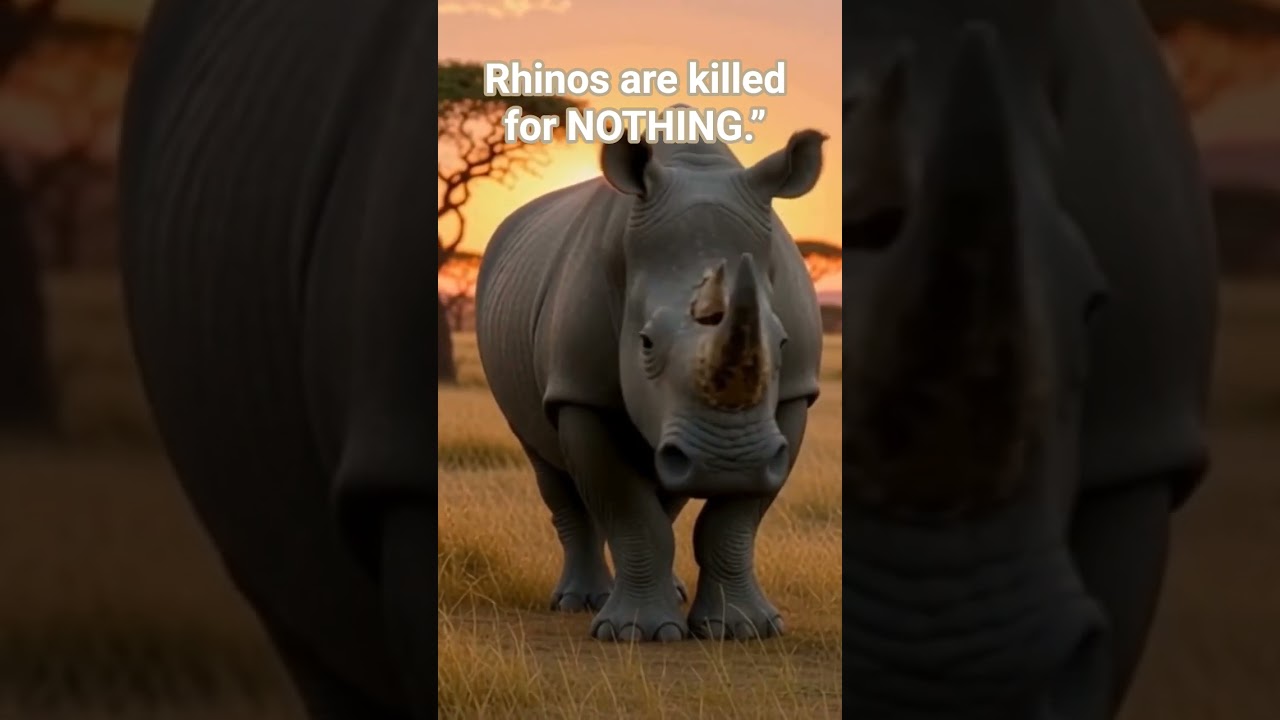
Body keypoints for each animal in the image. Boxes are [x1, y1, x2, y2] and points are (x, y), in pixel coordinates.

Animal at [474, 118, 827, 641]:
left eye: (781, 343)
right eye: (644, 343)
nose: (728, 462)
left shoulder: (793, 396)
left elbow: (734, 521)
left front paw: (744, 629)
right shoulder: (580, 391)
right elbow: (628, 509)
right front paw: (633, 633)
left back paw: (670, 592)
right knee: (548, 465)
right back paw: (579, 601)